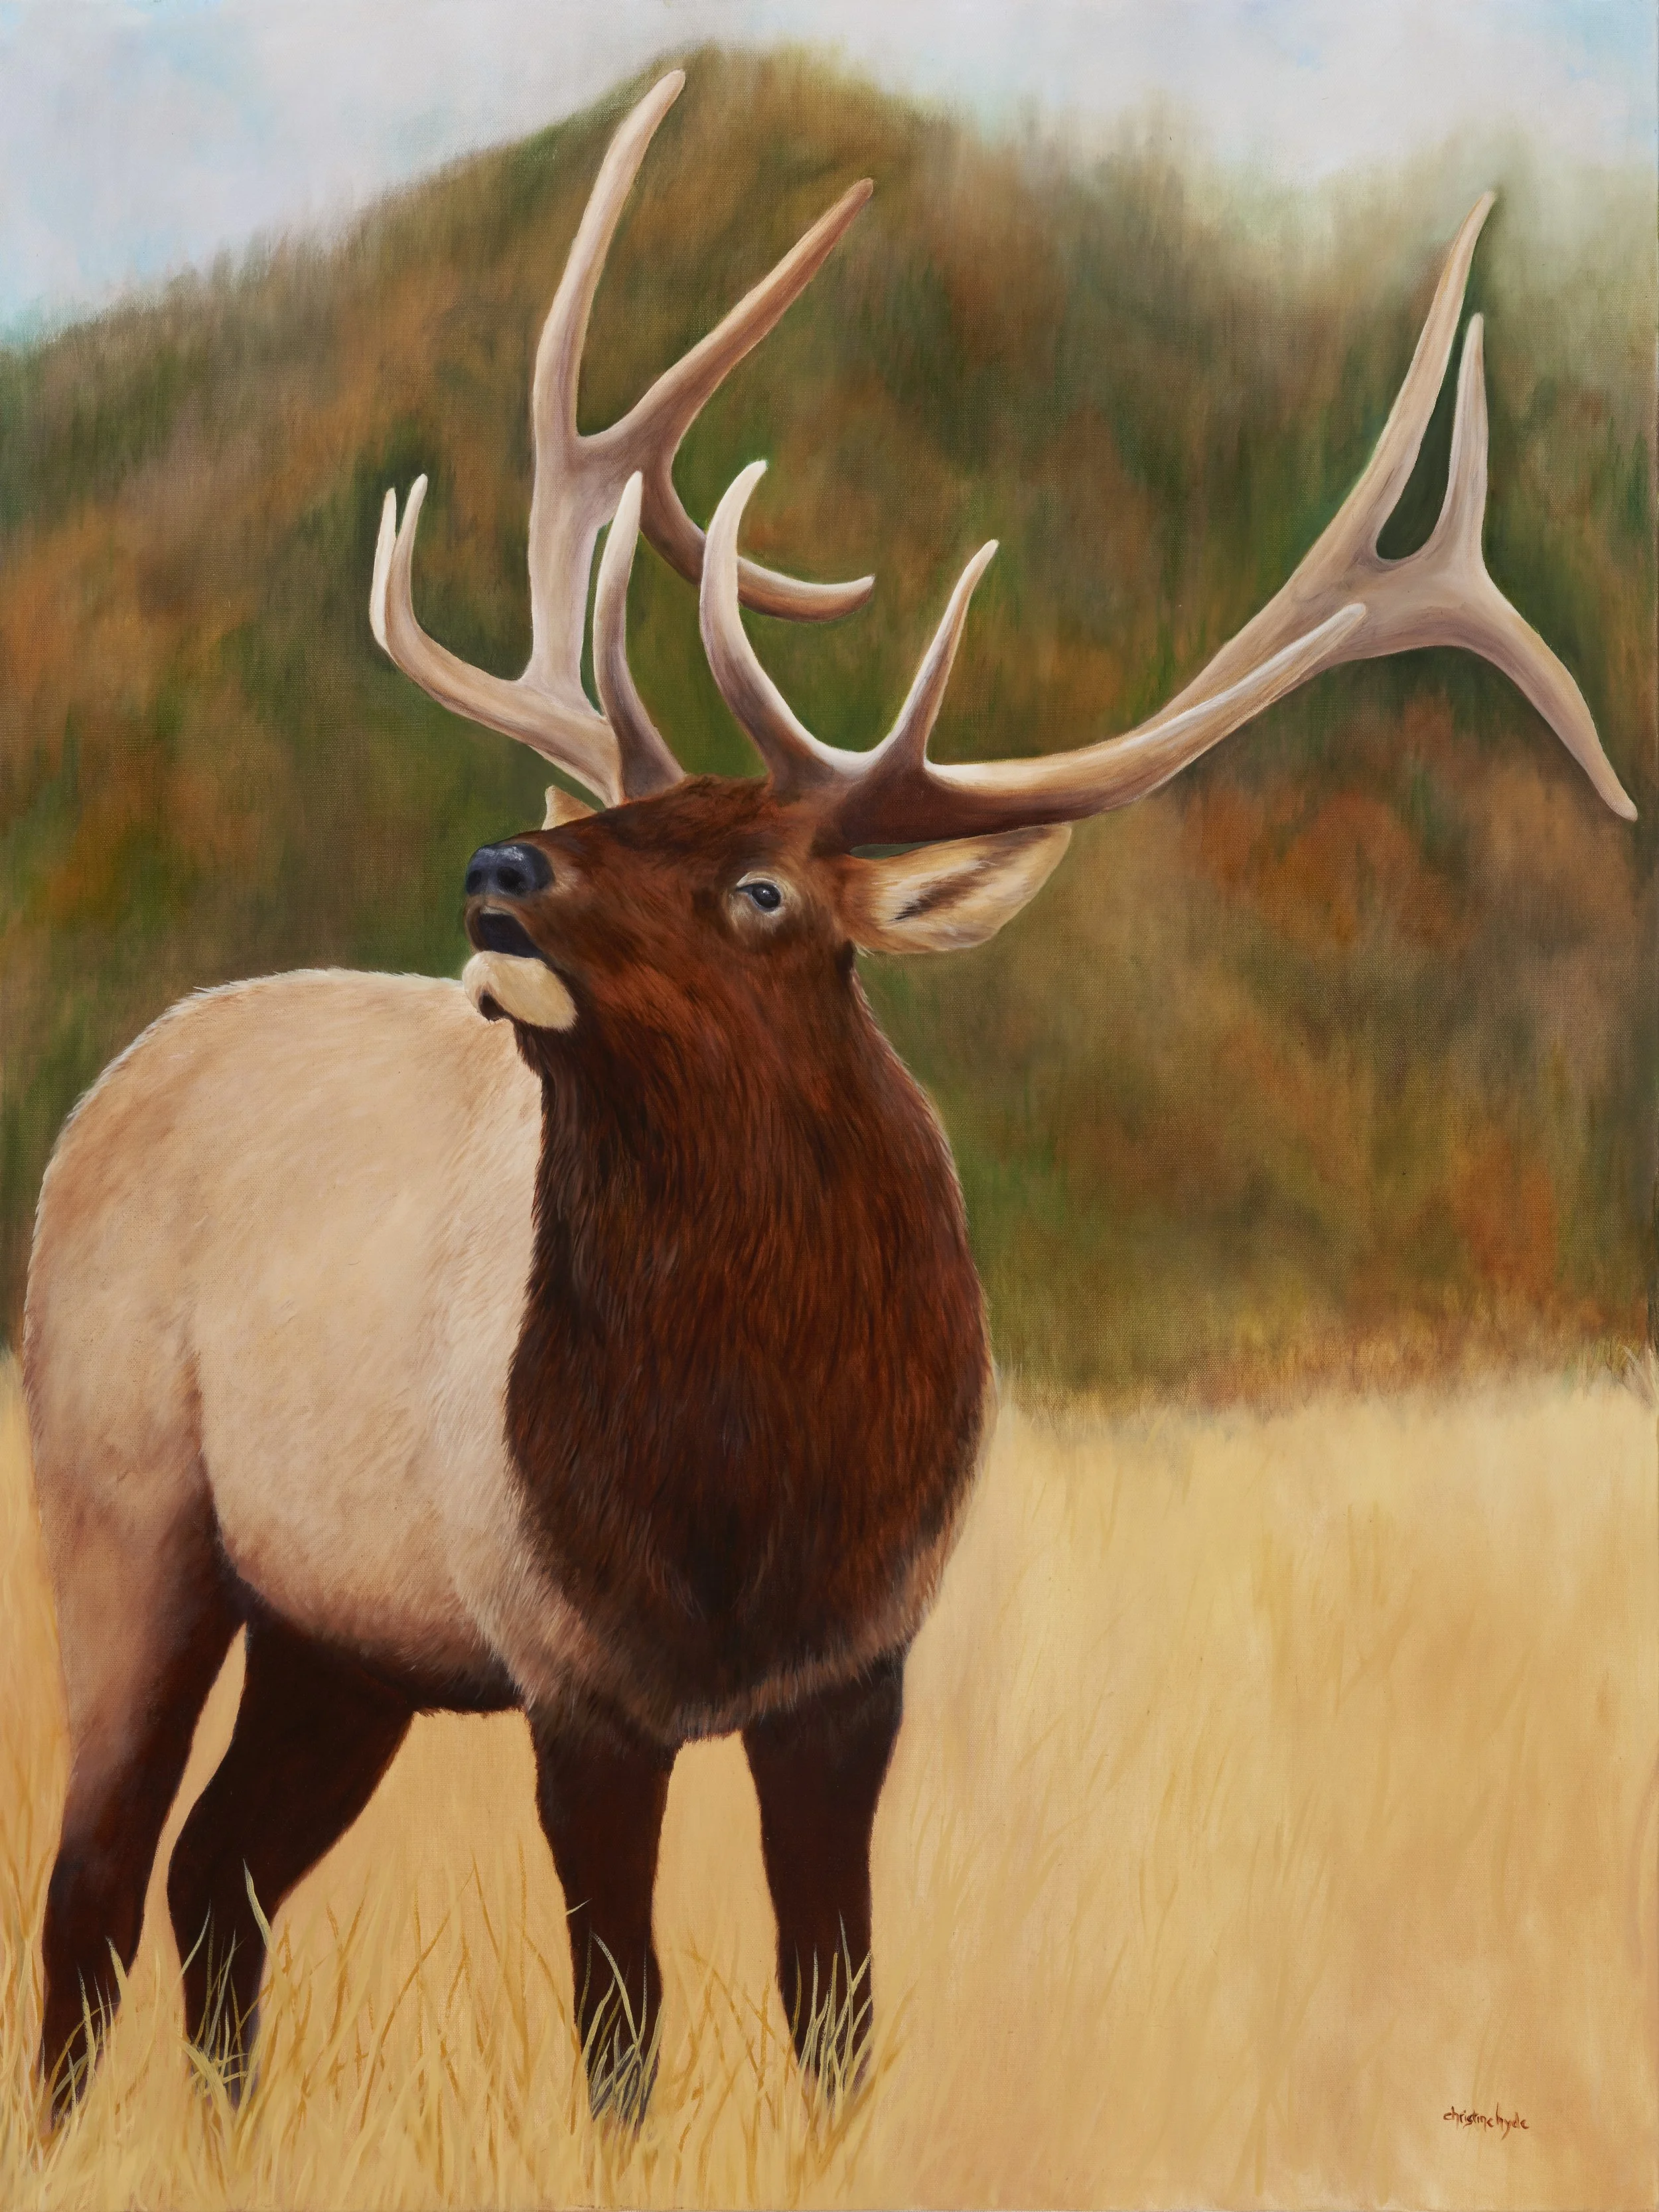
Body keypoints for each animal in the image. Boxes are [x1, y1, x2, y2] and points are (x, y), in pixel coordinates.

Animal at [22, 69, 1633, 2126]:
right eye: (614, 813)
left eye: (761, 886)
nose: (496, 864)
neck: (745, 1482)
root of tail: (113, 1084)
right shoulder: (575, 1670)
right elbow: (620, 2036)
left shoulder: (855, 1671)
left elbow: (832, 2007)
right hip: (125, 1494)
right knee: (95, 1875)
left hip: (344, 1631)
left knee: (217, 1877)